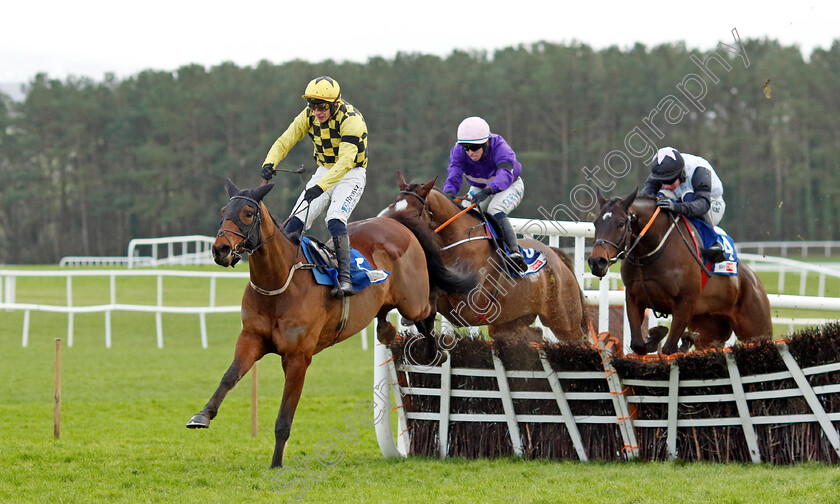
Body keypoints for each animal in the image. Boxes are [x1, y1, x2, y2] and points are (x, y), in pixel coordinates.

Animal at [187, 179, 476, 466]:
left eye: (248, 213)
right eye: (224, 211)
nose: (220, 249)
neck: (280, 283)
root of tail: (397, 223)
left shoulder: (298, 357)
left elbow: (284, 416)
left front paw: (276, 463)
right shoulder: (251, 338)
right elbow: (229, 376)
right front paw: (202, 415)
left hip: (413, 301)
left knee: (428, 312)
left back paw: (433, 352)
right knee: (388, 319)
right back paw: (388, 330)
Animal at [386, 174, 588, 342]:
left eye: (414, 214)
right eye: (393, 206)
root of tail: (557, 257)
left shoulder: (472, 304)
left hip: (564, 321)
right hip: (509, 321)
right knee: (534, 334)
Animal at [588, 188, 772, 354]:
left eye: (621, 223)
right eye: (595, 223)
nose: (597, 261)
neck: (652, 252)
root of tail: (754, 280)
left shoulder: (685, 302)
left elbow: (670, 349)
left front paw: (676, 342)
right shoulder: (633, 297)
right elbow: (639, 345)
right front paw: (656, 336)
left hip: (757, 329)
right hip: (711, 330)